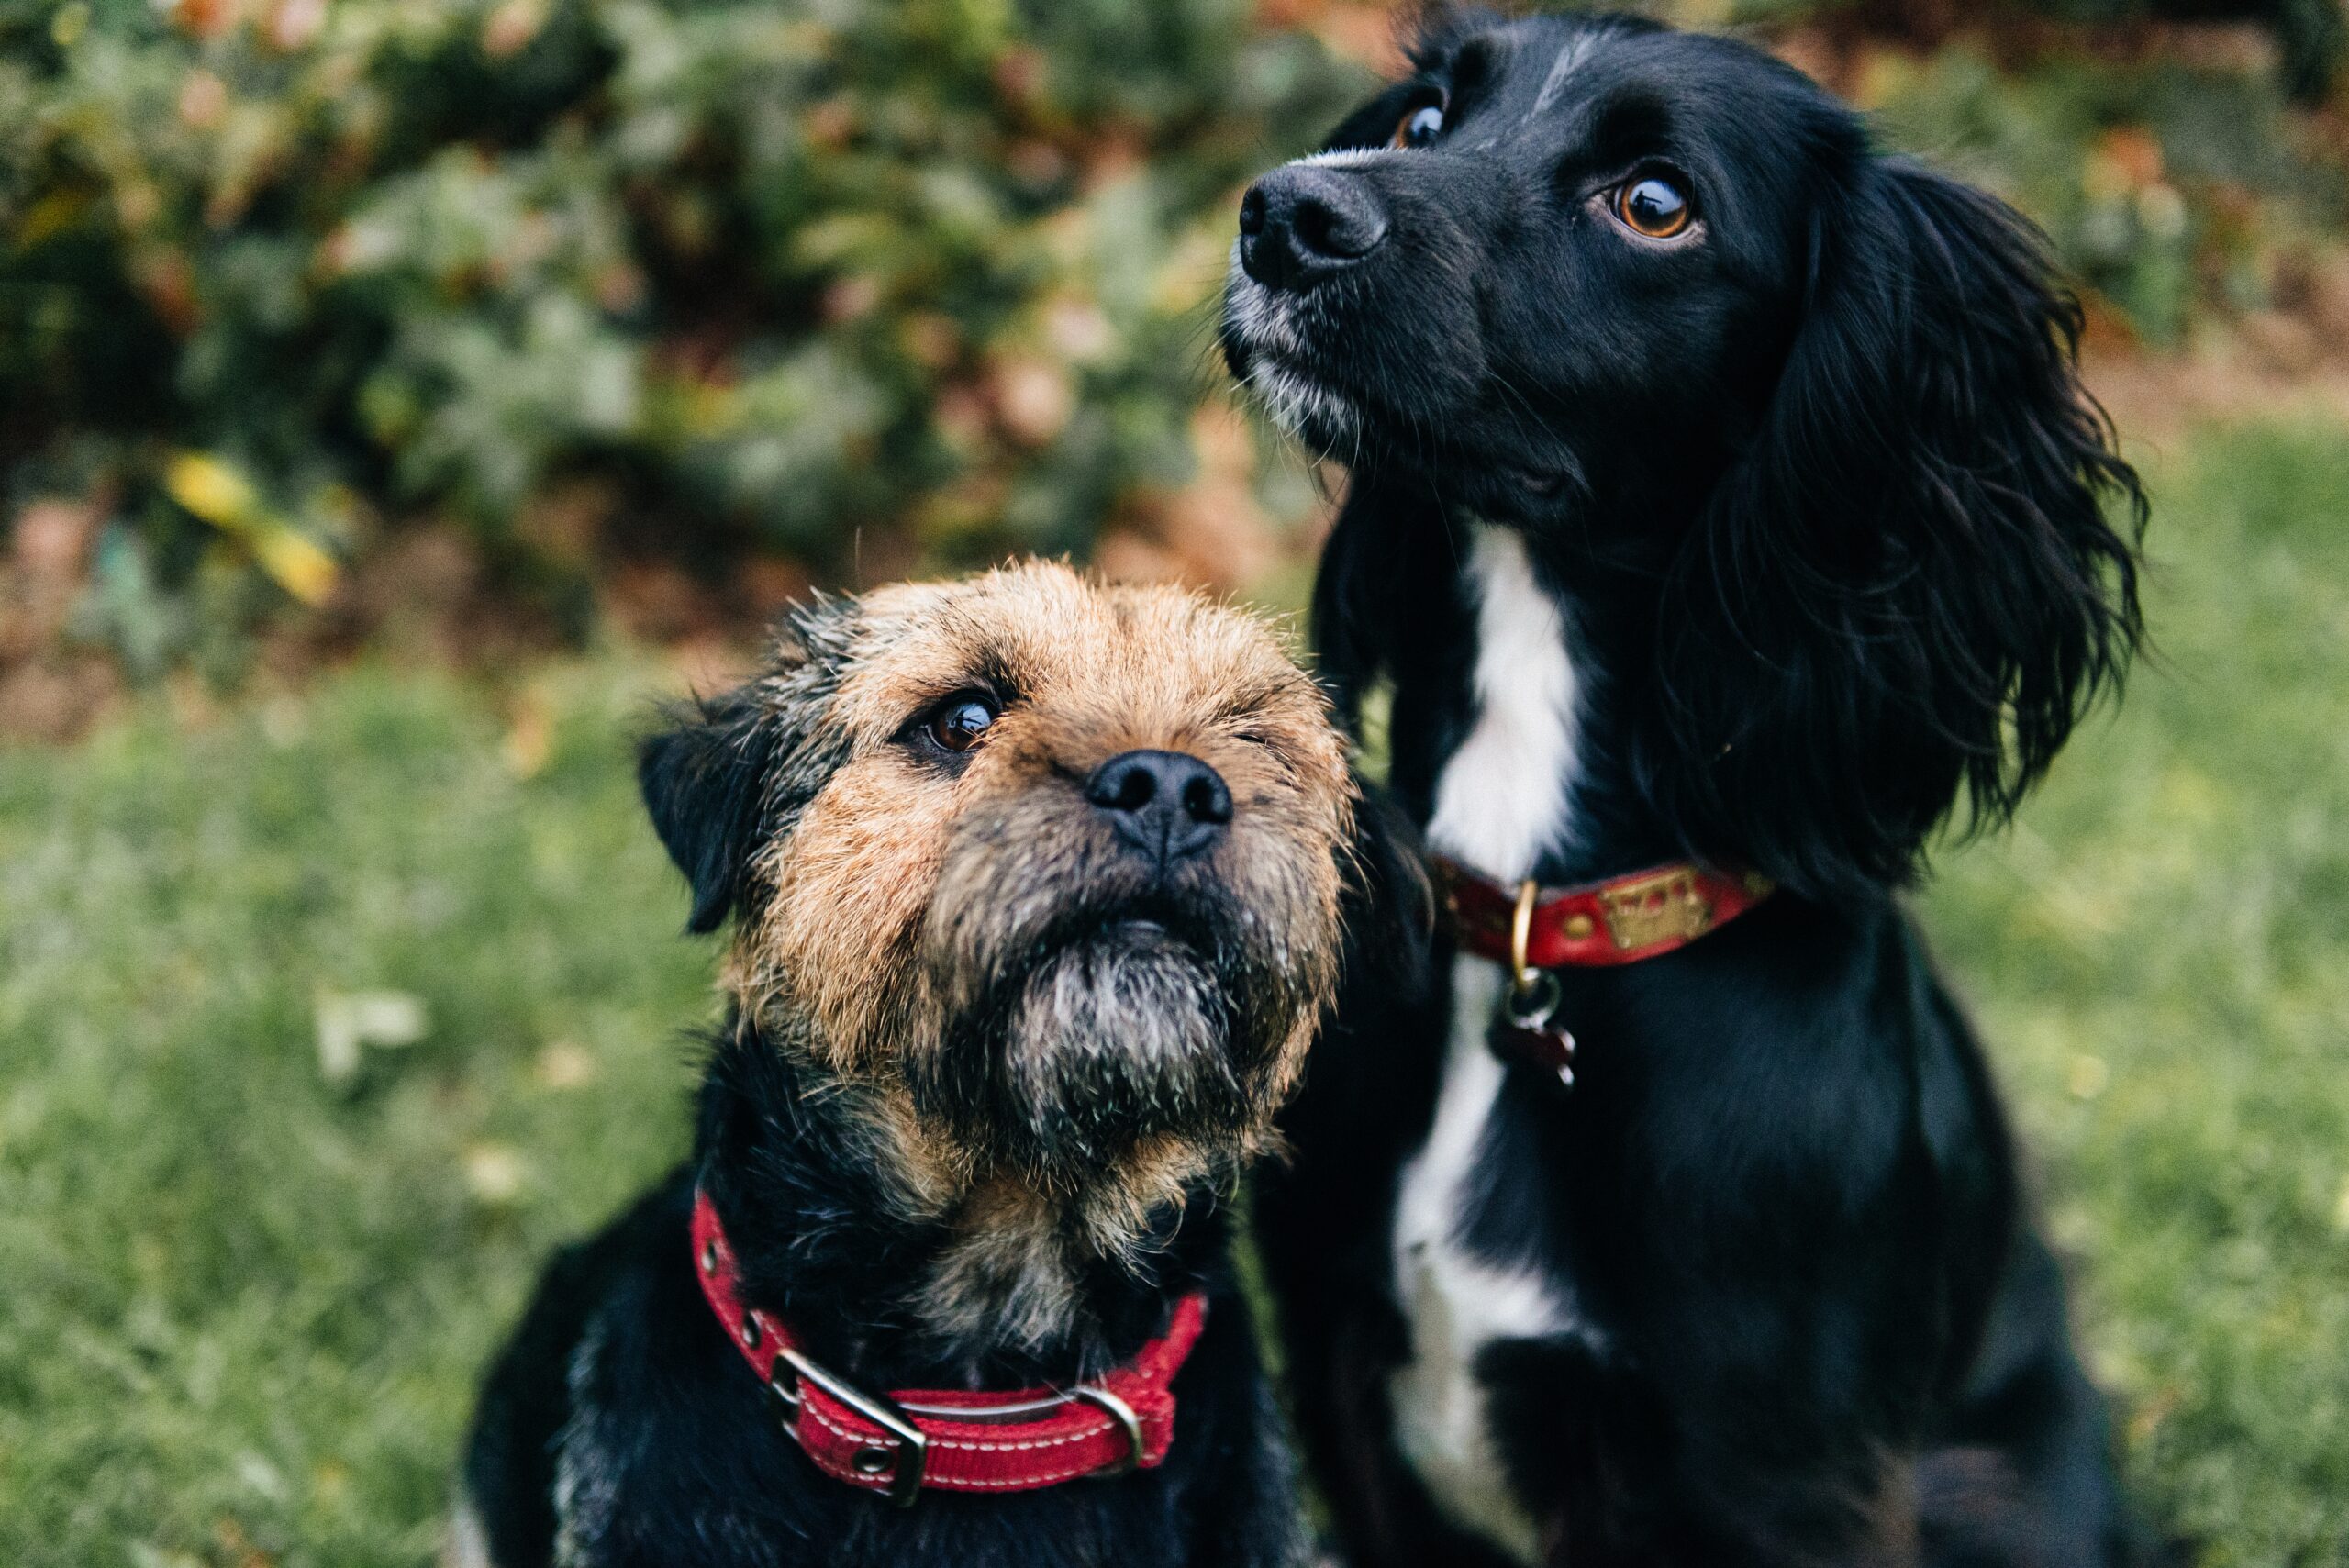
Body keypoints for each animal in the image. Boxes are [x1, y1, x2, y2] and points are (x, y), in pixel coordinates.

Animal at [1221, 12, 2151, 1568]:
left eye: (1655, 204)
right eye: (1423, 122)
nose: (1284, 214)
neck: (1530, 938)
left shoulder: (1776, 1477)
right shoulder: (1338, 1381)